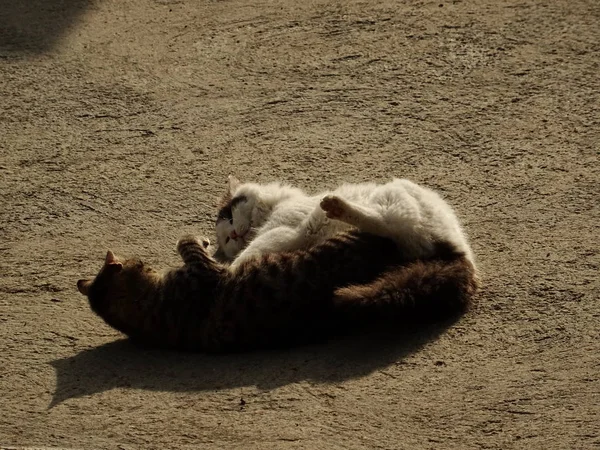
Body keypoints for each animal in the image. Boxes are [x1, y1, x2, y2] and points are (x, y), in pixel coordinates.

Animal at [213, 177, 476, 272]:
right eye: (226, 240)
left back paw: (336, 205)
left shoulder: (283, 230)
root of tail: (461, 250)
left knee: (385, 223)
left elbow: (250, 251)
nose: (234, 235)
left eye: (230, 218)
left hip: (393, 196)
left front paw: (226, 271)